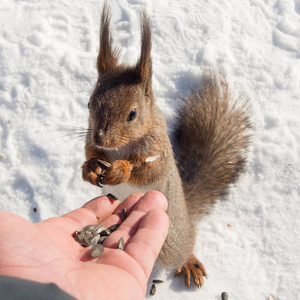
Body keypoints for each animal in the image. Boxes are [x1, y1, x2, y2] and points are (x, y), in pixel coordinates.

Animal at [81, 2, 250, 288]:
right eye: (89, 103)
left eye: (133, 114)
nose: (100, 138)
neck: (118, 149)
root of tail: (187, 219)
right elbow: (88, 154)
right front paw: (90, 168)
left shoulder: (159, 150)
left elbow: (150, 170)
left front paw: (121, 170)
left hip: (171, 240)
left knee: (183, 250)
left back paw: (189, 261)